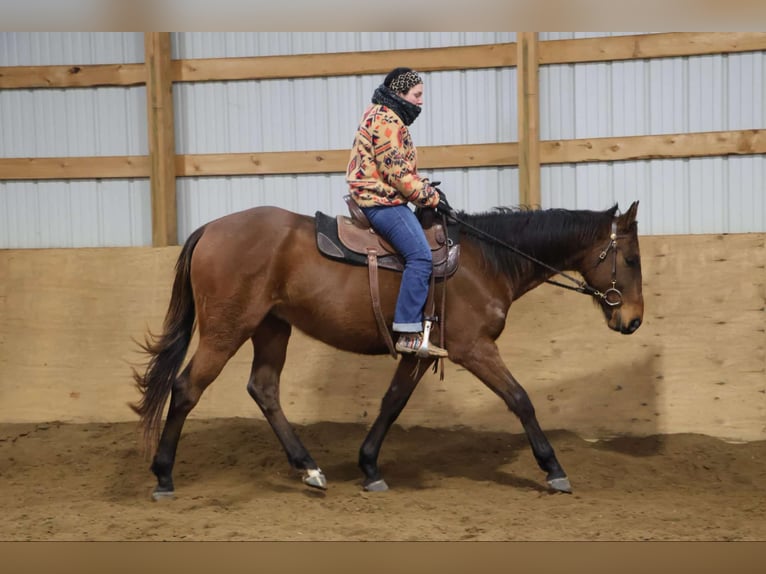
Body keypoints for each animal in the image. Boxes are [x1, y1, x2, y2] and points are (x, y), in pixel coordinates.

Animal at [131, 200, 644, 500]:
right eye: (632, 258)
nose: (633, 320)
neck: (485, 261)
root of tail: (210, 229)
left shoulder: (419, 352)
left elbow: (392, 403)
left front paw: (369, 466)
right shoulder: (474, 348)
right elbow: (520, 399)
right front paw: (553, 469)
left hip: (272, 327)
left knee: (264, 389)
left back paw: (309, 468)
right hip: (227, 330)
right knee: (186, 388)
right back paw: (163, 475)